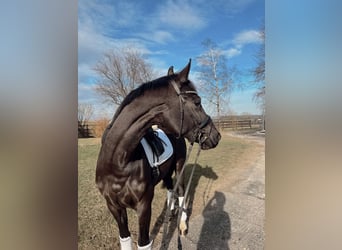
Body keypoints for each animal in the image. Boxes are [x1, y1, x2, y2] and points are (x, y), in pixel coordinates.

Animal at [95, 60, 222, 250]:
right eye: (197, 102)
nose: (216, 136)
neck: (118, 162)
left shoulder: (143, 206)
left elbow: (143, 243)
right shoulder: (114, 206)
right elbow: (125, 239)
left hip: (179, 165)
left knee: (181, 190)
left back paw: (182, 224)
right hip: (166, 171)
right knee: (170, 187)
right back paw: (170, 212)